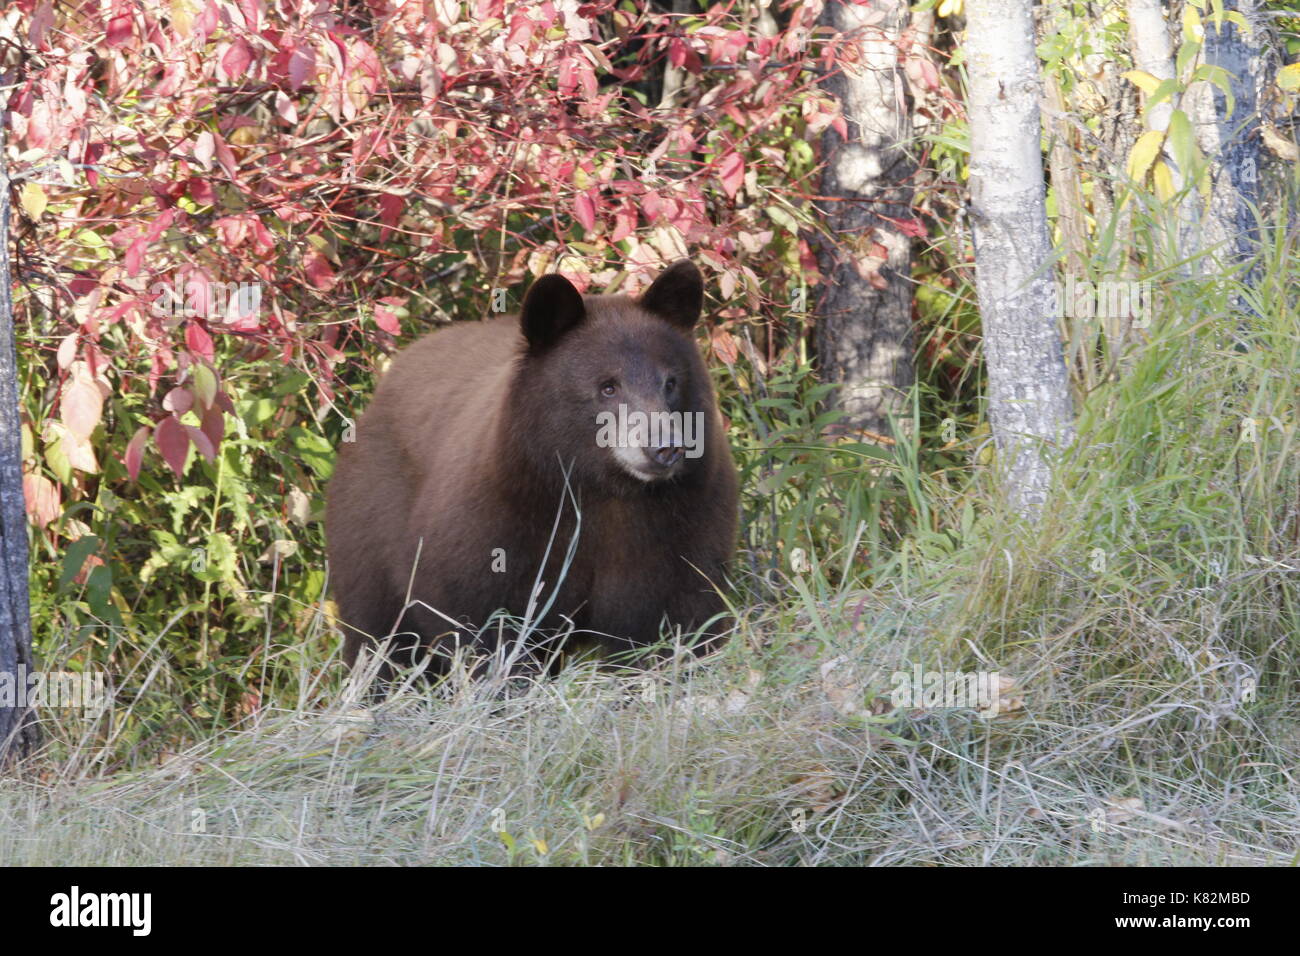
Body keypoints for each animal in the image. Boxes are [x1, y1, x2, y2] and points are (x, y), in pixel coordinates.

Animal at [323, 260, 738, 681]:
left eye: (670, 382)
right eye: (607, 386)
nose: (664, 447)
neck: (601, 491)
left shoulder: (680, 523)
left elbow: (672, 620)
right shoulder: (496, 523)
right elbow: (483, 622)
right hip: (367, 523)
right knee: (379, 635)